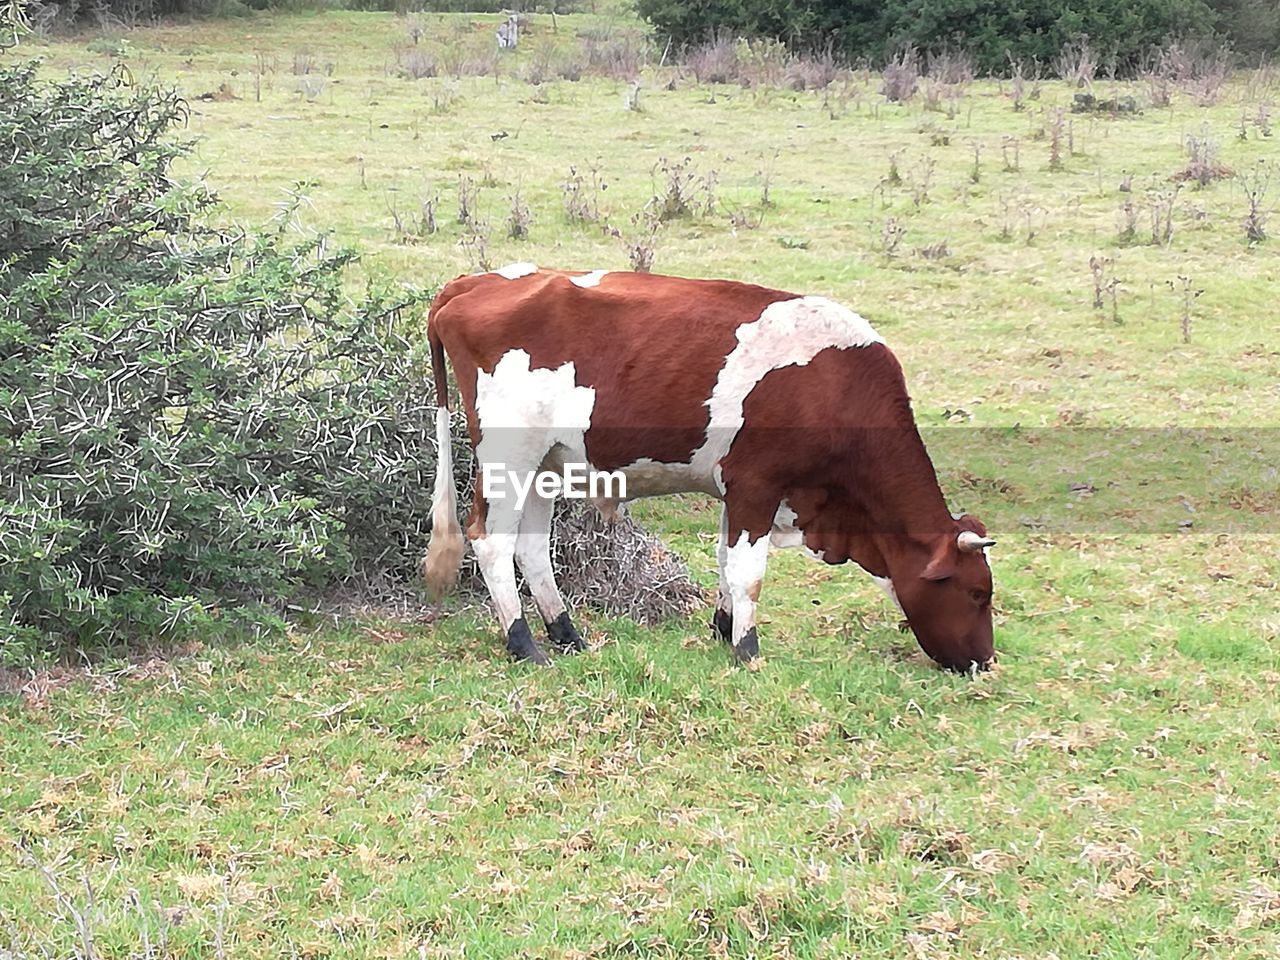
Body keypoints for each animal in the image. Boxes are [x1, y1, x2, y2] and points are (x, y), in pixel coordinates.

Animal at [424, 263, 993, 675]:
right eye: (977, 593)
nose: (985, 662)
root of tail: (475, 281)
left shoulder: (737, 490)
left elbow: (724, 559)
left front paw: (723, 628)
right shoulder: (757, 486)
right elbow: (749, 572)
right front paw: (747, 649)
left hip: (545, 463)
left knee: (531, 547)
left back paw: (567, 634)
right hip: (509, 457)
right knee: (492, 541)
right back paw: (524, 644)